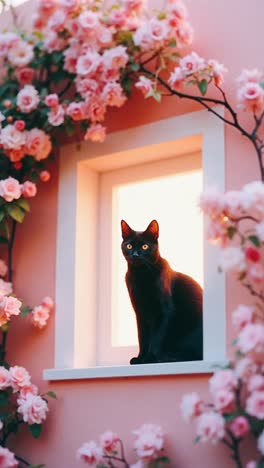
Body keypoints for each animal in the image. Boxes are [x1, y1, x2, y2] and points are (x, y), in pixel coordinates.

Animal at [120, 219, 203, 366]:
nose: (135, 254)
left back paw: (168, 357)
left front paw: (149, 358)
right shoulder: (140, 314)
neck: (140, 276)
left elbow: (156, 338)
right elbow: (143, 338)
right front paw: (140, 358)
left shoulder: (163, 312)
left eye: (145, 246)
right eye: (129, 246)